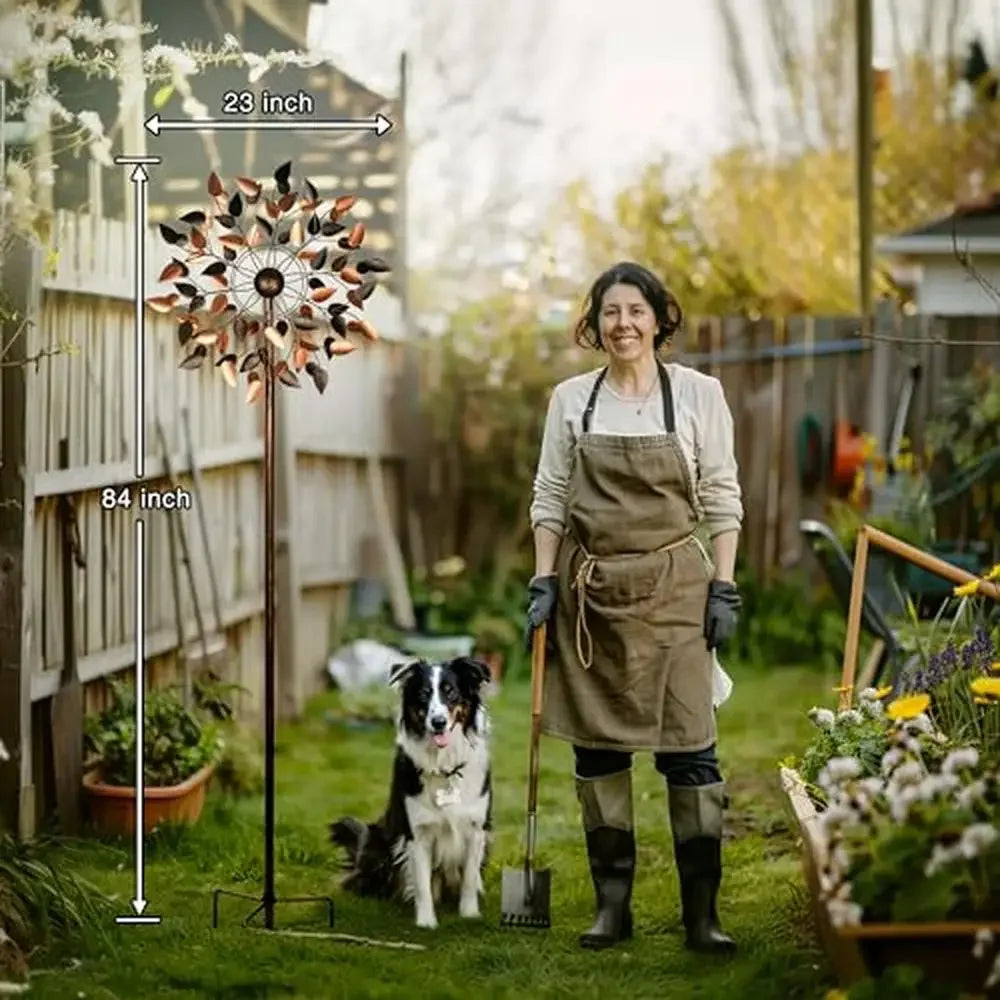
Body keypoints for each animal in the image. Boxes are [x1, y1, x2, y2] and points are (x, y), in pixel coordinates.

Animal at [332, 656, 492, 928]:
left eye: (451, 692)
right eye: (423, 694)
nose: (438, 722)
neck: (443, 767)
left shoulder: (476, 830)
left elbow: (470, 878)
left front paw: (469, 914)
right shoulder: (417, 834)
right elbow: (422, 885)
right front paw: (426, 923)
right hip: (379, 842)